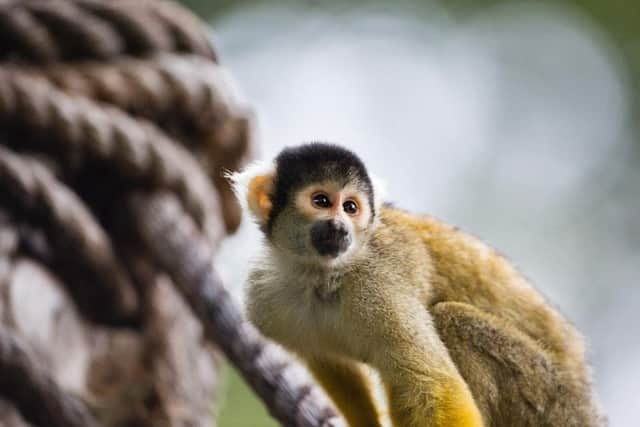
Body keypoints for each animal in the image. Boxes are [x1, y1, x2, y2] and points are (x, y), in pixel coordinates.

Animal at [231, 145, 604, 427]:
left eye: (351, 207)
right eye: (321, 201)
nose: (340, 228)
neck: (321, 276)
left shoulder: (379, 284)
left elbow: (438, 385)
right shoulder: (264, 299)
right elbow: (330, 363)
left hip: (552, 402)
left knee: (452, 322)